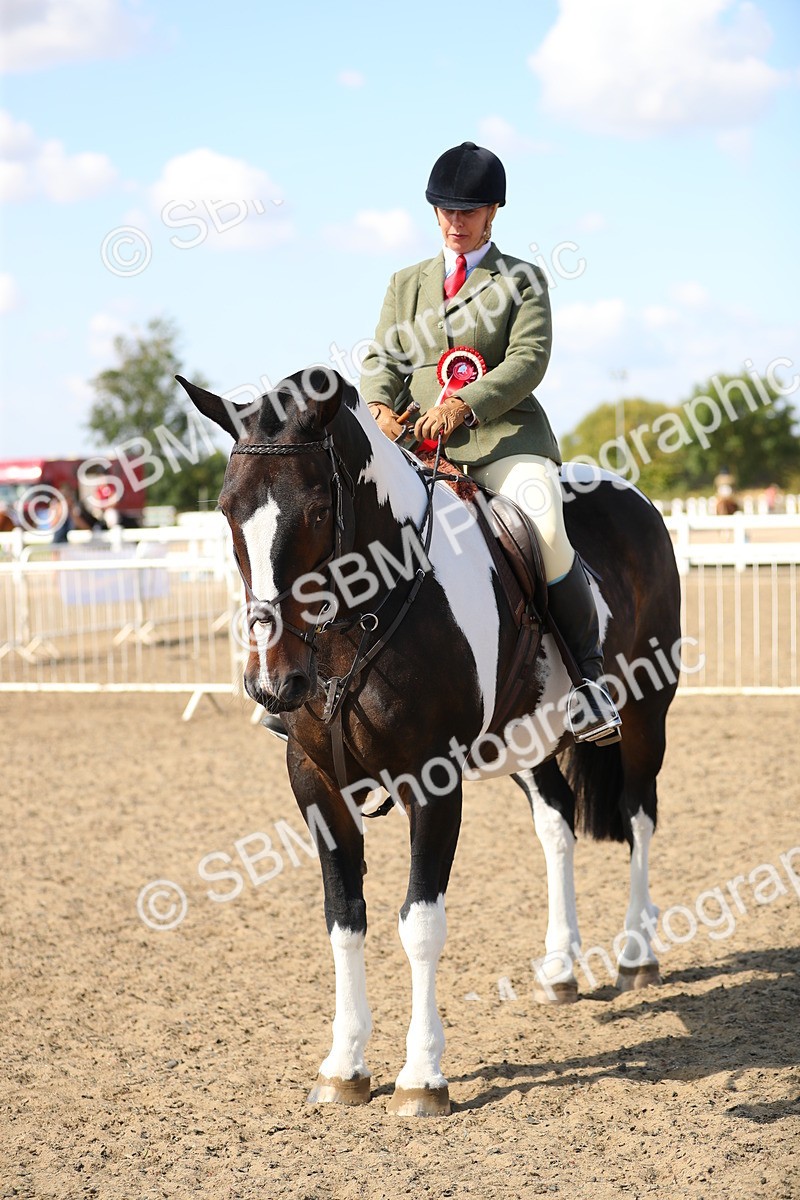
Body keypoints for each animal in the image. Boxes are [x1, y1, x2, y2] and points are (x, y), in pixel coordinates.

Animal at [178, 366, 682, 1118]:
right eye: (226, 510)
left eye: (317, 511)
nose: (273, 683)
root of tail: (629, 494)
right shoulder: (315, 783)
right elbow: (343, 918)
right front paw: (343, 1067)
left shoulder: (433, 780)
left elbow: (419, 924)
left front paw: (421, 1078)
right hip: (525, 741)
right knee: (557, 826)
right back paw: (561, 967)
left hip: (647, 713)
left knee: (640, 815)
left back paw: (636, 954)